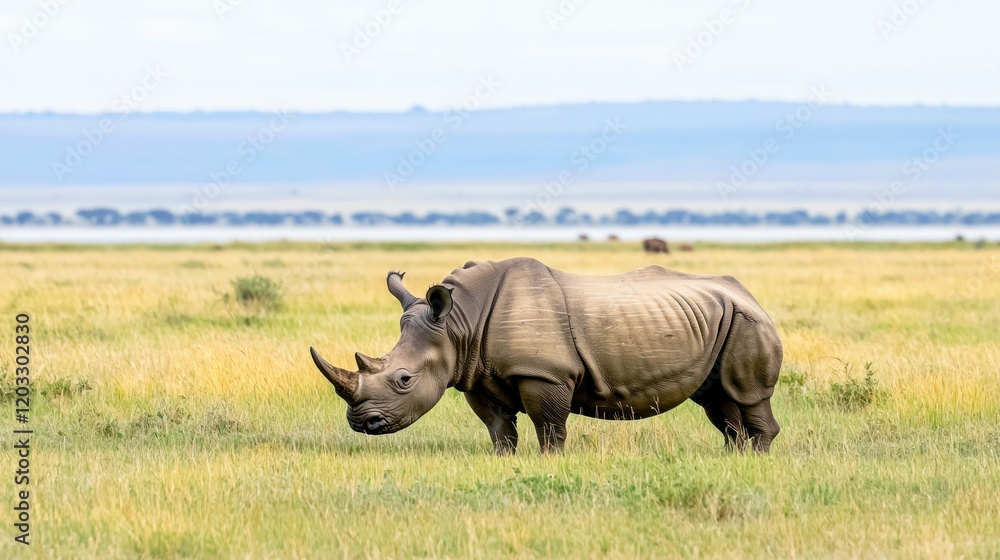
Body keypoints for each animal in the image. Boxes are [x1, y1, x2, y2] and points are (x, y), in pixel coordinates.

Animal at [310, 258, 782, 454]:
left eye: (404, 380)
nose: (362, 424)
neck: (460, 323)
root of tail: (750, 294)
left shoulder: (545, 373)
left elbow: (549, 424)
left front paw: (550, 461)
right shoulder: (474, 373)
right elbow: (498, 426)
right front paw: (504, 460)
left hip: (748, 322)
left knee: (746, 394)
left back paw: (755, 457)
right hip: (722, 319)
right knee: (719, 400)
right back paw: (733, 457)